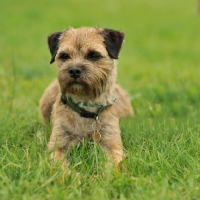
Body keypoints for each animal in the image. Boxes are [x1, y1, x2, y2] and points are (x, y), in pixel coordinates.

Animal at [39, 26, 133, 167]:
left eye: (93, 55)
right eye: (64, 56)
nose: (74, 70)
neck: (86, 104)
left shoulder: (112, 145)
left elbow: (114, 164)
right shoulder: (57, 147)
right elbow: (60, 165)